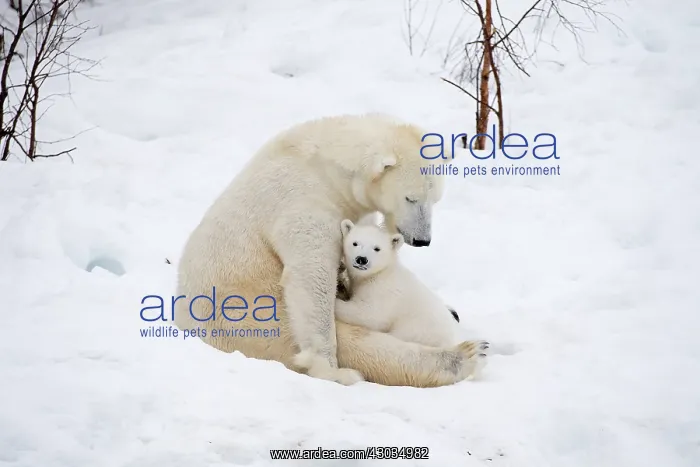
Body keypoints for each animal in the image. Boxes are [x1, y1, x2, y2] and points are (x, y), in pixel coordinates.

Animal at [174, 113, 486, 387]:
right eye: (411, 198)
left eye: (435, 199)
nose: (422, 239)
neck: (326, 166)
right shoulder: (303, 200)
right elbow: (310, 277)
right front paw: (330, 370)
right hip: (251, 316)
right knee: (361, 345)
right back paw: (464, 354)